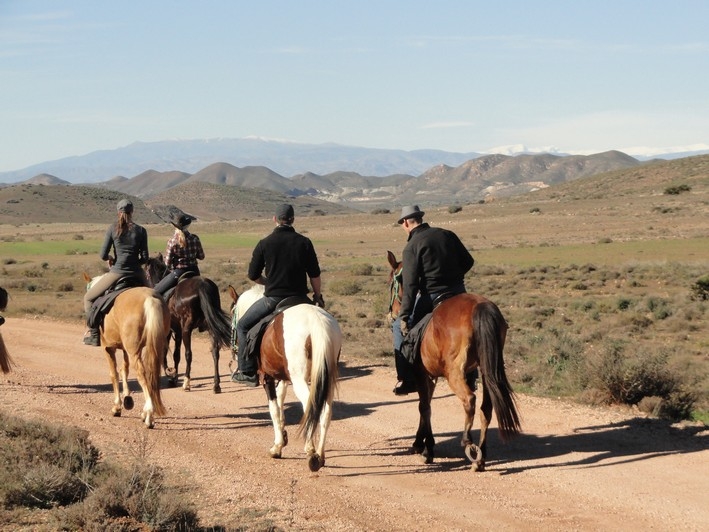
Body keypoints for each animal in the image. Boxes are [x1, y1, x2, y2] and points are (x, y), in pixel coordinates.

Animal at [82, 274, 170, 428]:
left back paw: (149, 414)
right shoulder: (125, 350)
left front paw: (117, 407)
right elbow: (125, 369)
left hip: (134, 351)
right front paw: (128, 398)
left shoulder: (108, 348)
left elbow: (114, 374)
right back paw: (146, 412)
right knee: (151, 375)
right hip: (153, 347)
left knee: (142, 375)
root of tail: (150, 299)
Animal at [145, 254, 231, 394]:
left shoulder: (172, 331)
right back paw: (216, 385)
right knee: (215, 352)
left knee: (189, 354)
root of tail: (202, 285)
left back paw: (186, 382)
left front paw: (171, 375)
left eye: (146, 271)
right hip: (210, 328)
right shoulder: (178, 331)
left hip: (187, 329)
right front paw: (173, 377)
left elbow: (168, 351)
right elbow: (176, 355)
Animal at [228, 284, 342, 472]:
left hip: (300, 379)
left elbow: (274, 409)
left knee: (310, 407)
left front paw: (277, 447)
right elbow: (281, 402)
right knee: (325, 411)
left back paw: (311, 451)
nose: (233, 347)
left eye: (232, 315)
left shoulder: (267, 376)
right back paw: (320, 455)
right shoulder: (282, 377)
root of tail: (317, 322)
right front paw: (282, 435)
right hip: (327, 379)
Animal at [388, 251, 520, 472]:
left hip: (454, 372)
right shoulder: (430, 376)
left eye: (392, 282)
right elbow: (426, 405)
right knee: (486, 407)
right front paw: (420, 443)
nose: (394, 313)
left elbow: (424, 407)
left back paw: (468, 443)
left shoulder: (422, 373)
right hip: (487, 369)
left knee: (469, 400)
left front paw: (427, 449)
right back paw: (480, 457)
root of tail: (480, 307)